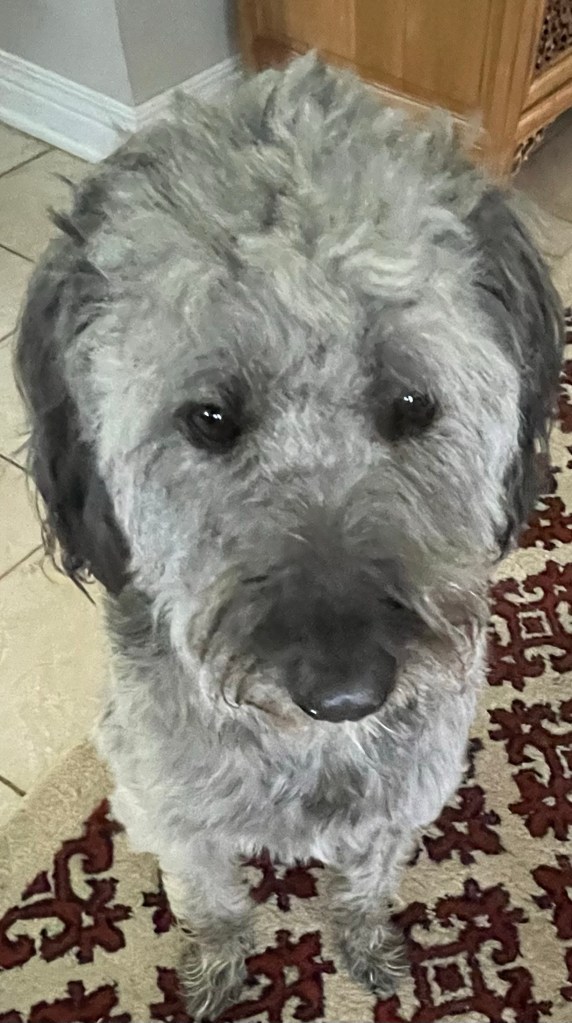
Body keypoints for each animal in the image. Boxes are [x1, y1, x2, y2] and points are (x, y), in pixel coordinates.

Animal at [15, 54, 564, 1018]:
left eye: (413, 403)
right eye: (208, 417)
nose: (347, 691)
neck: (306, 749)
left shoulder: (400, 806)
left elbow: (364, 886)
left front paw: (364, 945)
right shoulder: (175, 816)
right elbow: (215, 901)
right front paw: (217, 967)